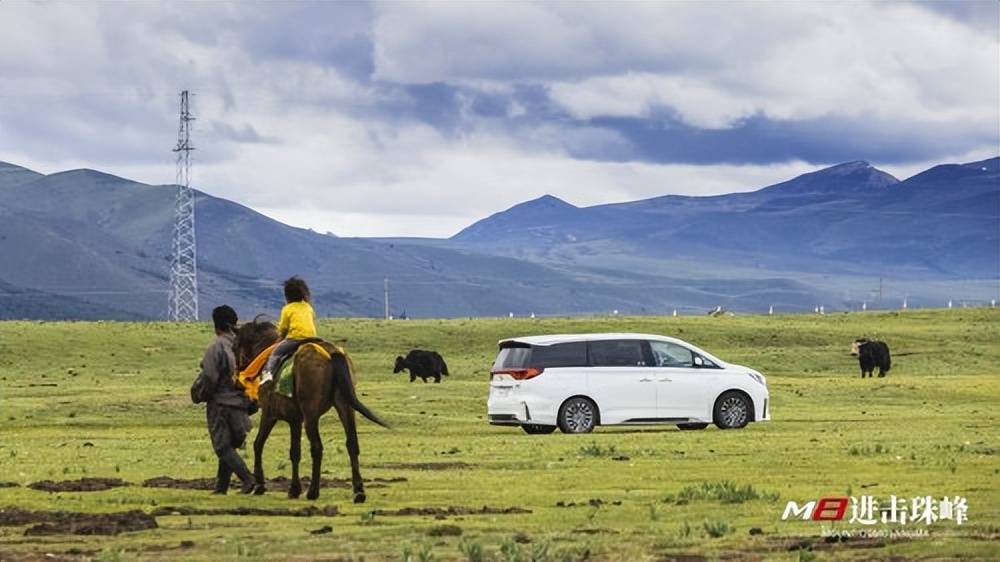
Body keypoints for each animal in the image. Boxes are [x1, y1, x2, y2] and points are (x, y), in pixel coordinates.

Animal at [233, 318, 386, 500]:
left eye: (234, 347)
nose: (236, 379)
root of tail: (331, 352)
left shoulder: (270, 414)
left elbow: (259, 444)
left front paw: (260, 486)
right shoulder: (295, 419)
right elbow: (295, 452)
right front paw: (294, 489)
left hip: (310, 415)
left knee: (317, 447)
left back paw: (313, 491)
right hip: (345, 407)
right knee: (352, 443)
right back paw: (358, 491)